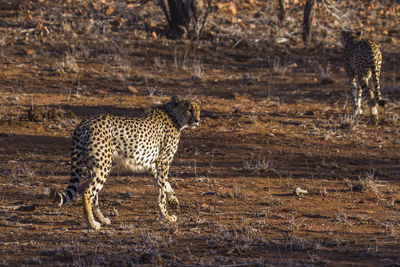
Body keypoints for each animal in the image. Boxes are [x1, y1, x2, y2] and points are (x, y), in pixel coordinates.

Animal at [56, 96, 200, 230]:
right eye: (189, 110)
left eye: (198, 110)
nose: (197, 120)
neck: (173, 116)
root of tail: (83, 124)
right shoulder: (163, 162)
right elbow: (162, 192)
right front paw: (166, 216)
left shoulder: (152, 165)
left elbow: (165, 185)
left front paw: (173, 200)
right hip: (103, 166)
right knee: (87, 192)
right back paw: (92, 224)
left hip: (93, 167)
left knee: (93, 195)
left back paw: (102, 219)